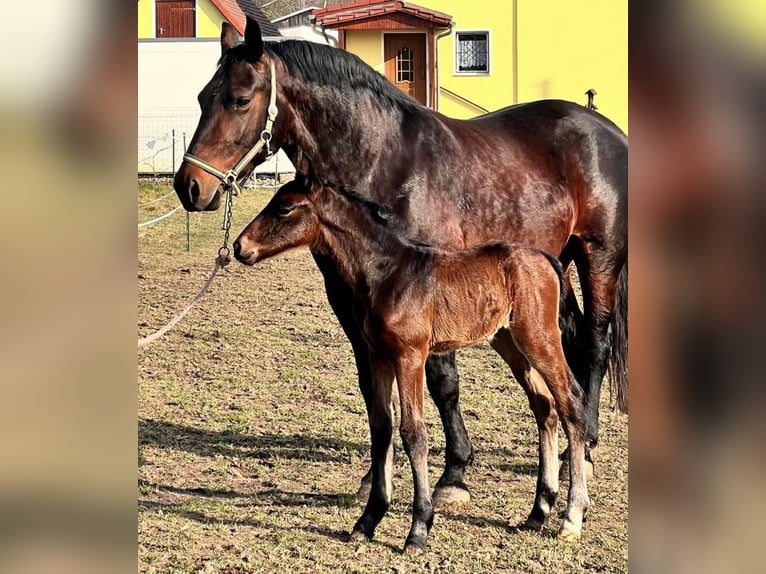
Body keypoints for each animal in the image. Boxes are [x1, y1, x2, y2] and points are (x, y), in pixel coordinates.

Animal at [173, 17, 628, 507]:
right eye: (201, 97)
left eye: (239, 99)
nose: (189, 186)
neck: (387, 163)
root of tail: (609, 131)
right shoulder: (353, 307)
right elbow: (376, 397)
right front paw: (375, 478)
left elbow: (443, 383)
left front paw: (453, 476)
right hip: (552, 268)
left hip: (598, 259)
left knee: (595, 345)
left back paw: (581, 455)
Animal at [234, 177, 589, 552]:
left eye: (284, 207)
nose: (240, 246)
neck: (388, 272)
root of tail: (547, 260)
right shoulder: (377, 356)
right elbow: (381, 428)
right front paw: (368, 520)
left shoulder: (410, 356)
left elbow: (413, 433)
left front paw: (418, 529)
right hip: (508, 342)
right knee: (544, 406)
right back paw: (538, 512)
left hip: (539, 338)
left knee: (570, 402)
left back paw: (571, 517)